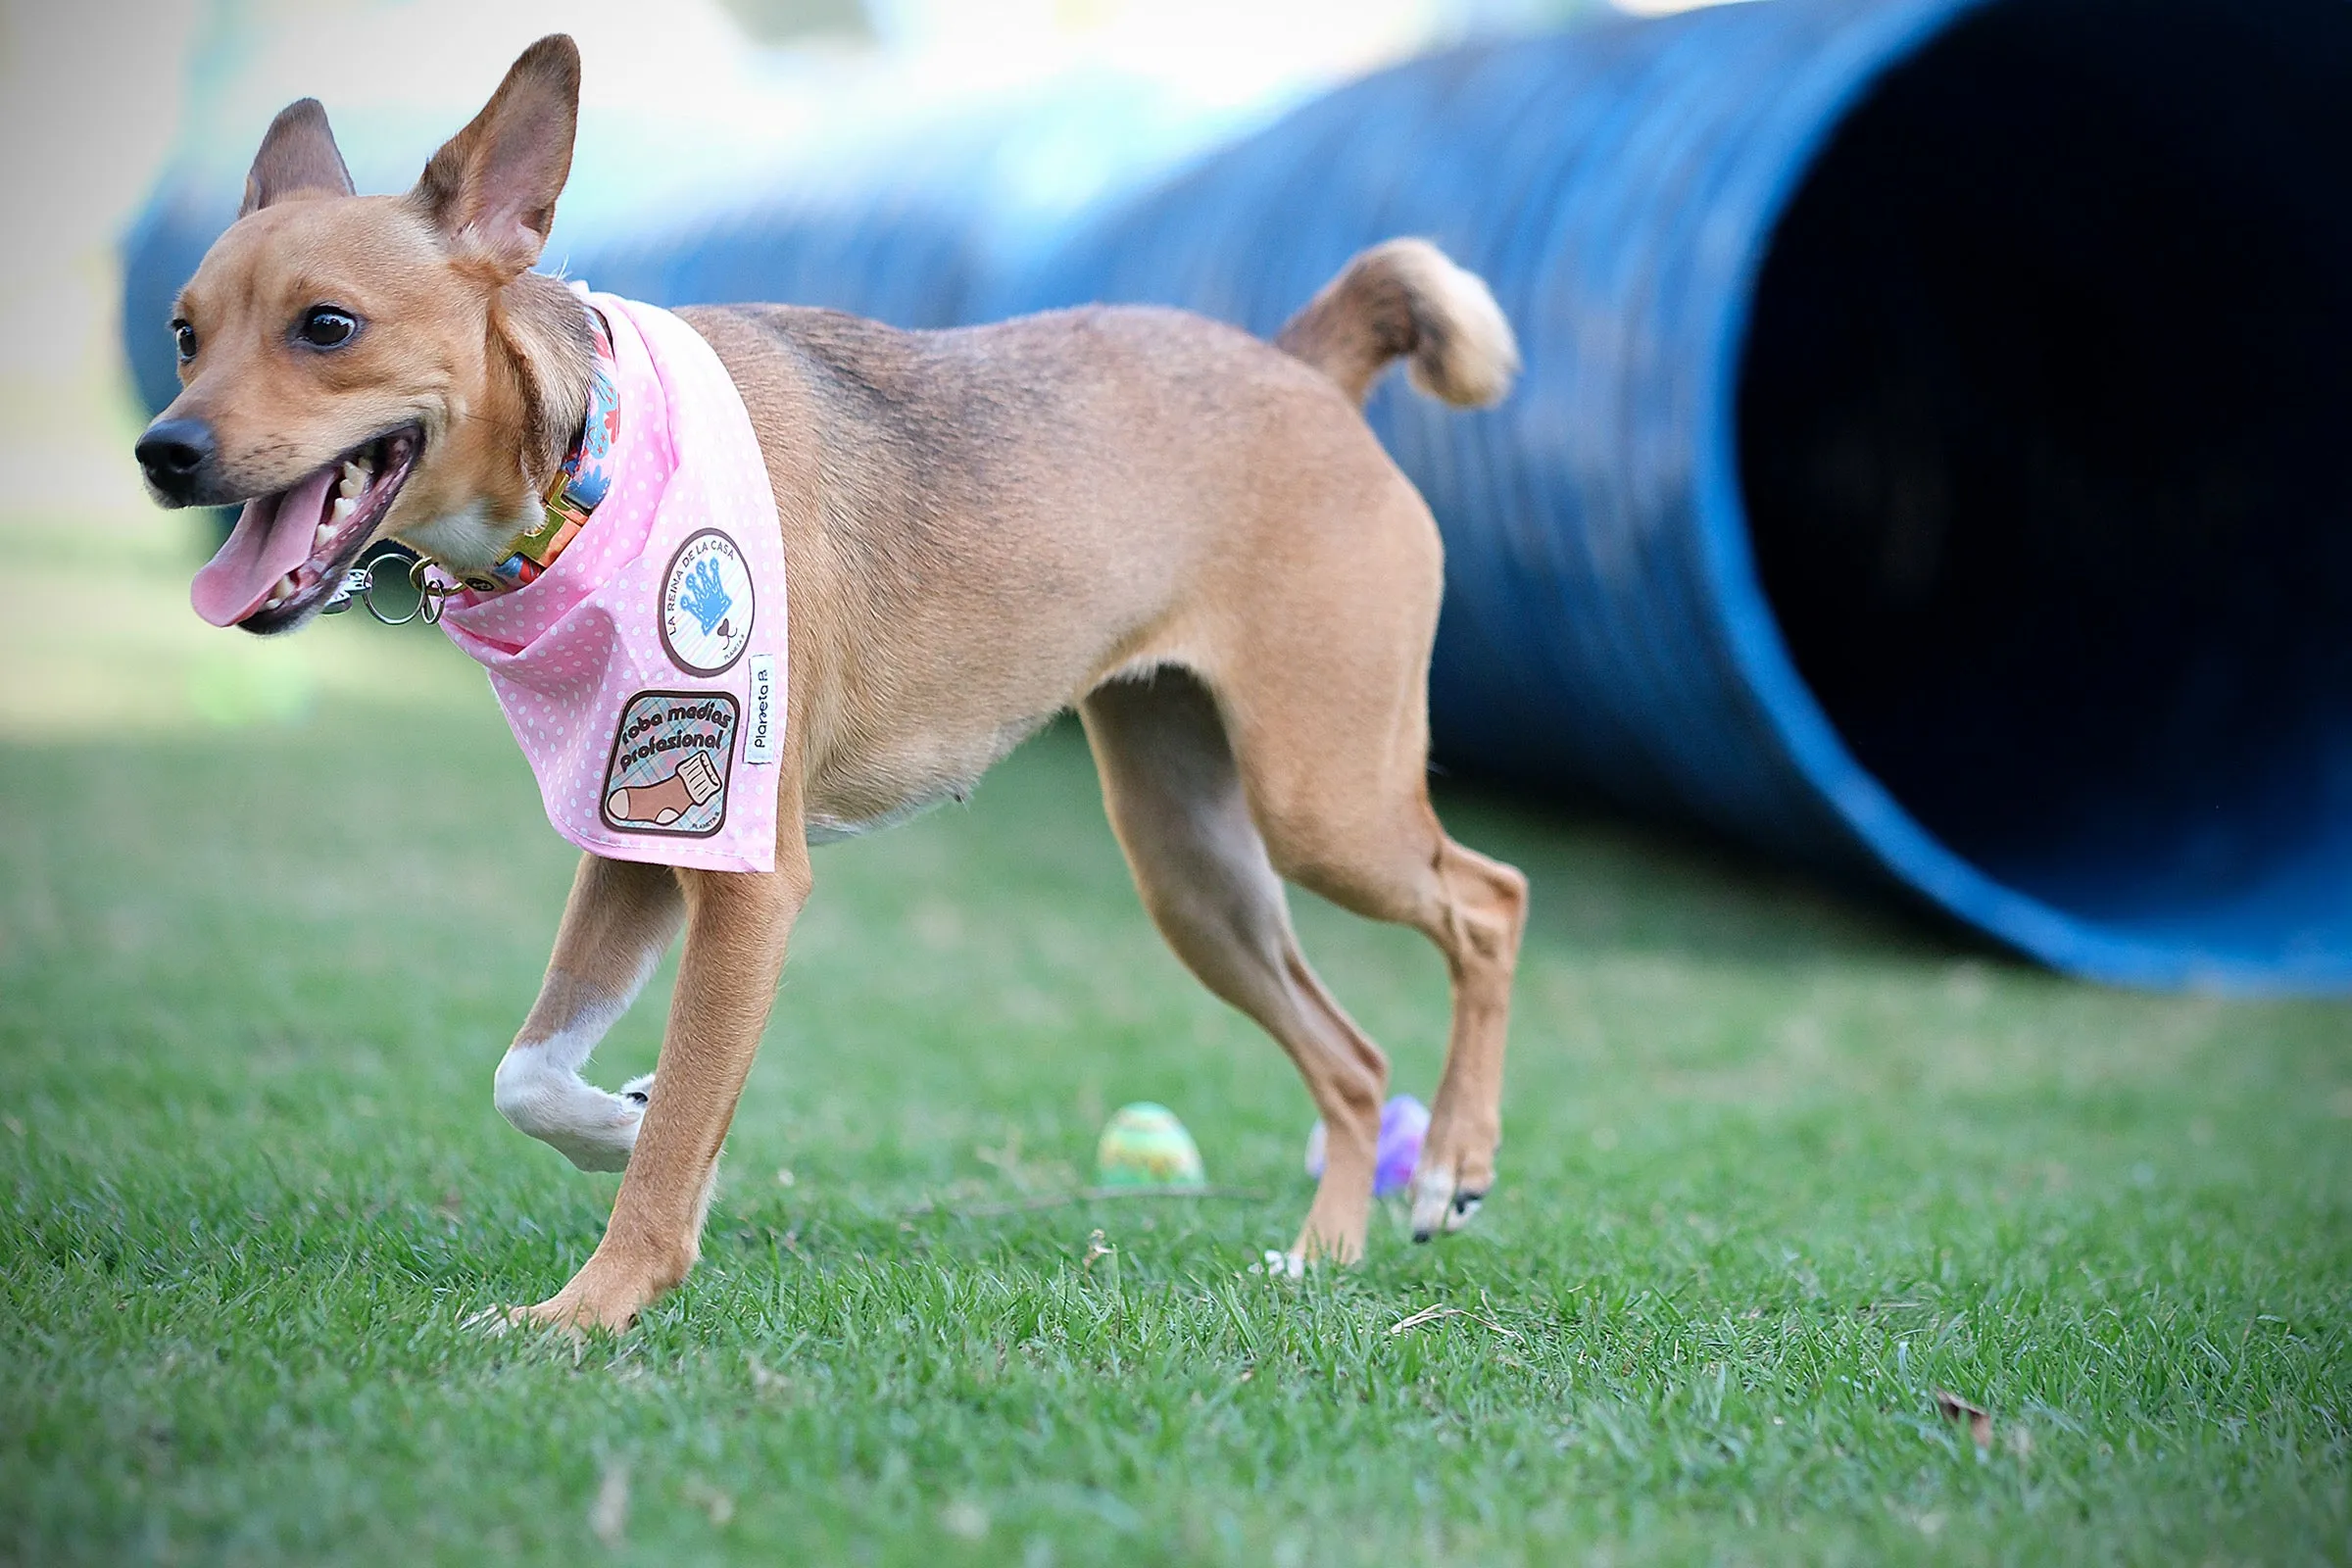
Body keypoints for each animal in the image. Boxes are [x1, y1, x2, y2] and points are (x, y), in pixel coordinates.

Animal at [133, 36, 1524, 1335]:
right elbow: (530, 1074)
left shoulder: (746, 878)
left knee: (1489, 904)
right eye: (185, 333)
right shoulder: (638, 831)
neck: (596, 460)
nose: (163, 450)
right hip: (1195, 867)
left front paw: (588, 1310)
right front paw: (613, 1118)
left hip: (1323, 804)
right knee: (1354, 1060)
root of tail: (1300, 363)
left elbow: (675, 1134)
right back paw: (1326, 1251)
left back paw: (1452, 1159)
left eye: (327, 326)